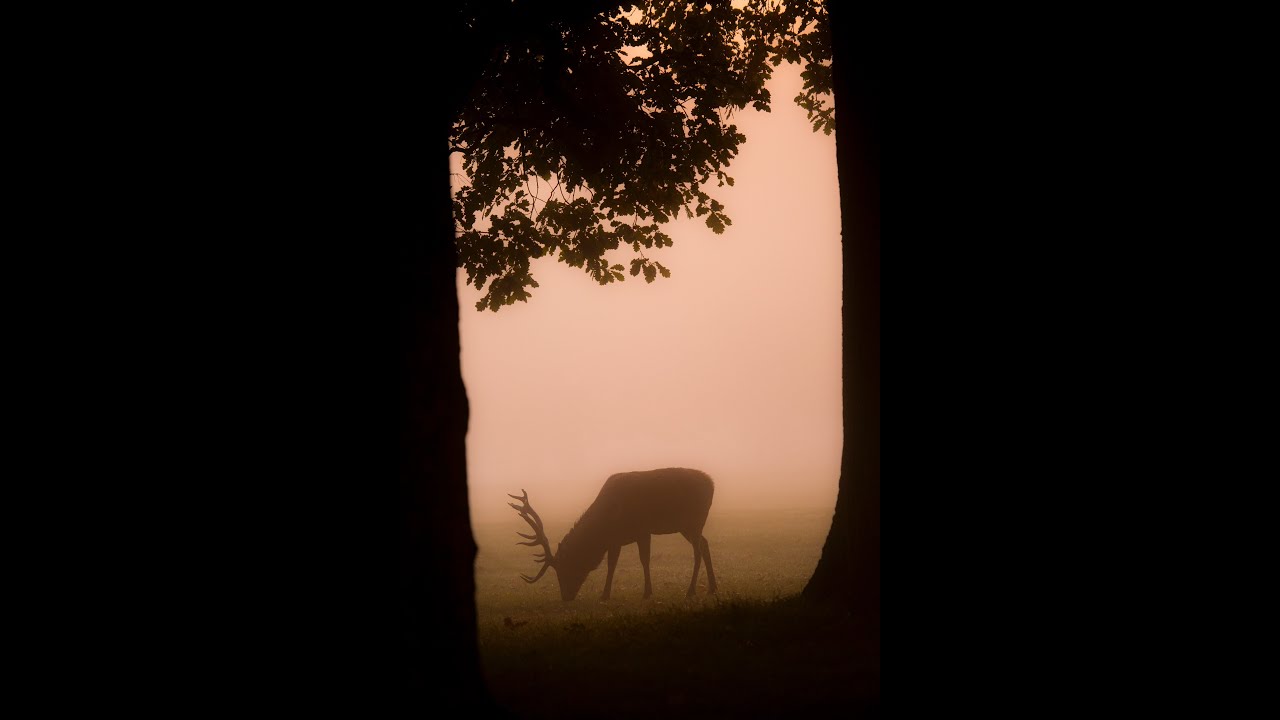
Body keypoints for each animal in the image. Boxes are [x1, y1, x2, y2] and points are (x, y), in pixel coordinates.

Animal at [509, 467, 718, 601]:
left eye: (563, 568)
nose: (566, 597)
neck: (605, 526)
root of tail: (712, 483)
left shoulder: (642, 530)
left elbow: (644, 560)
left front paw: (646, 592)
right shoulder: (615, 541)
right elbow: (612, 565)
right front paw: (606, 594)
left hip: (694, 521)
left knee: (698, 551)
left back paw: (691, 591)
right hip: (688, 526)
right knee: (705, 544)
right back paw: (712, 588)